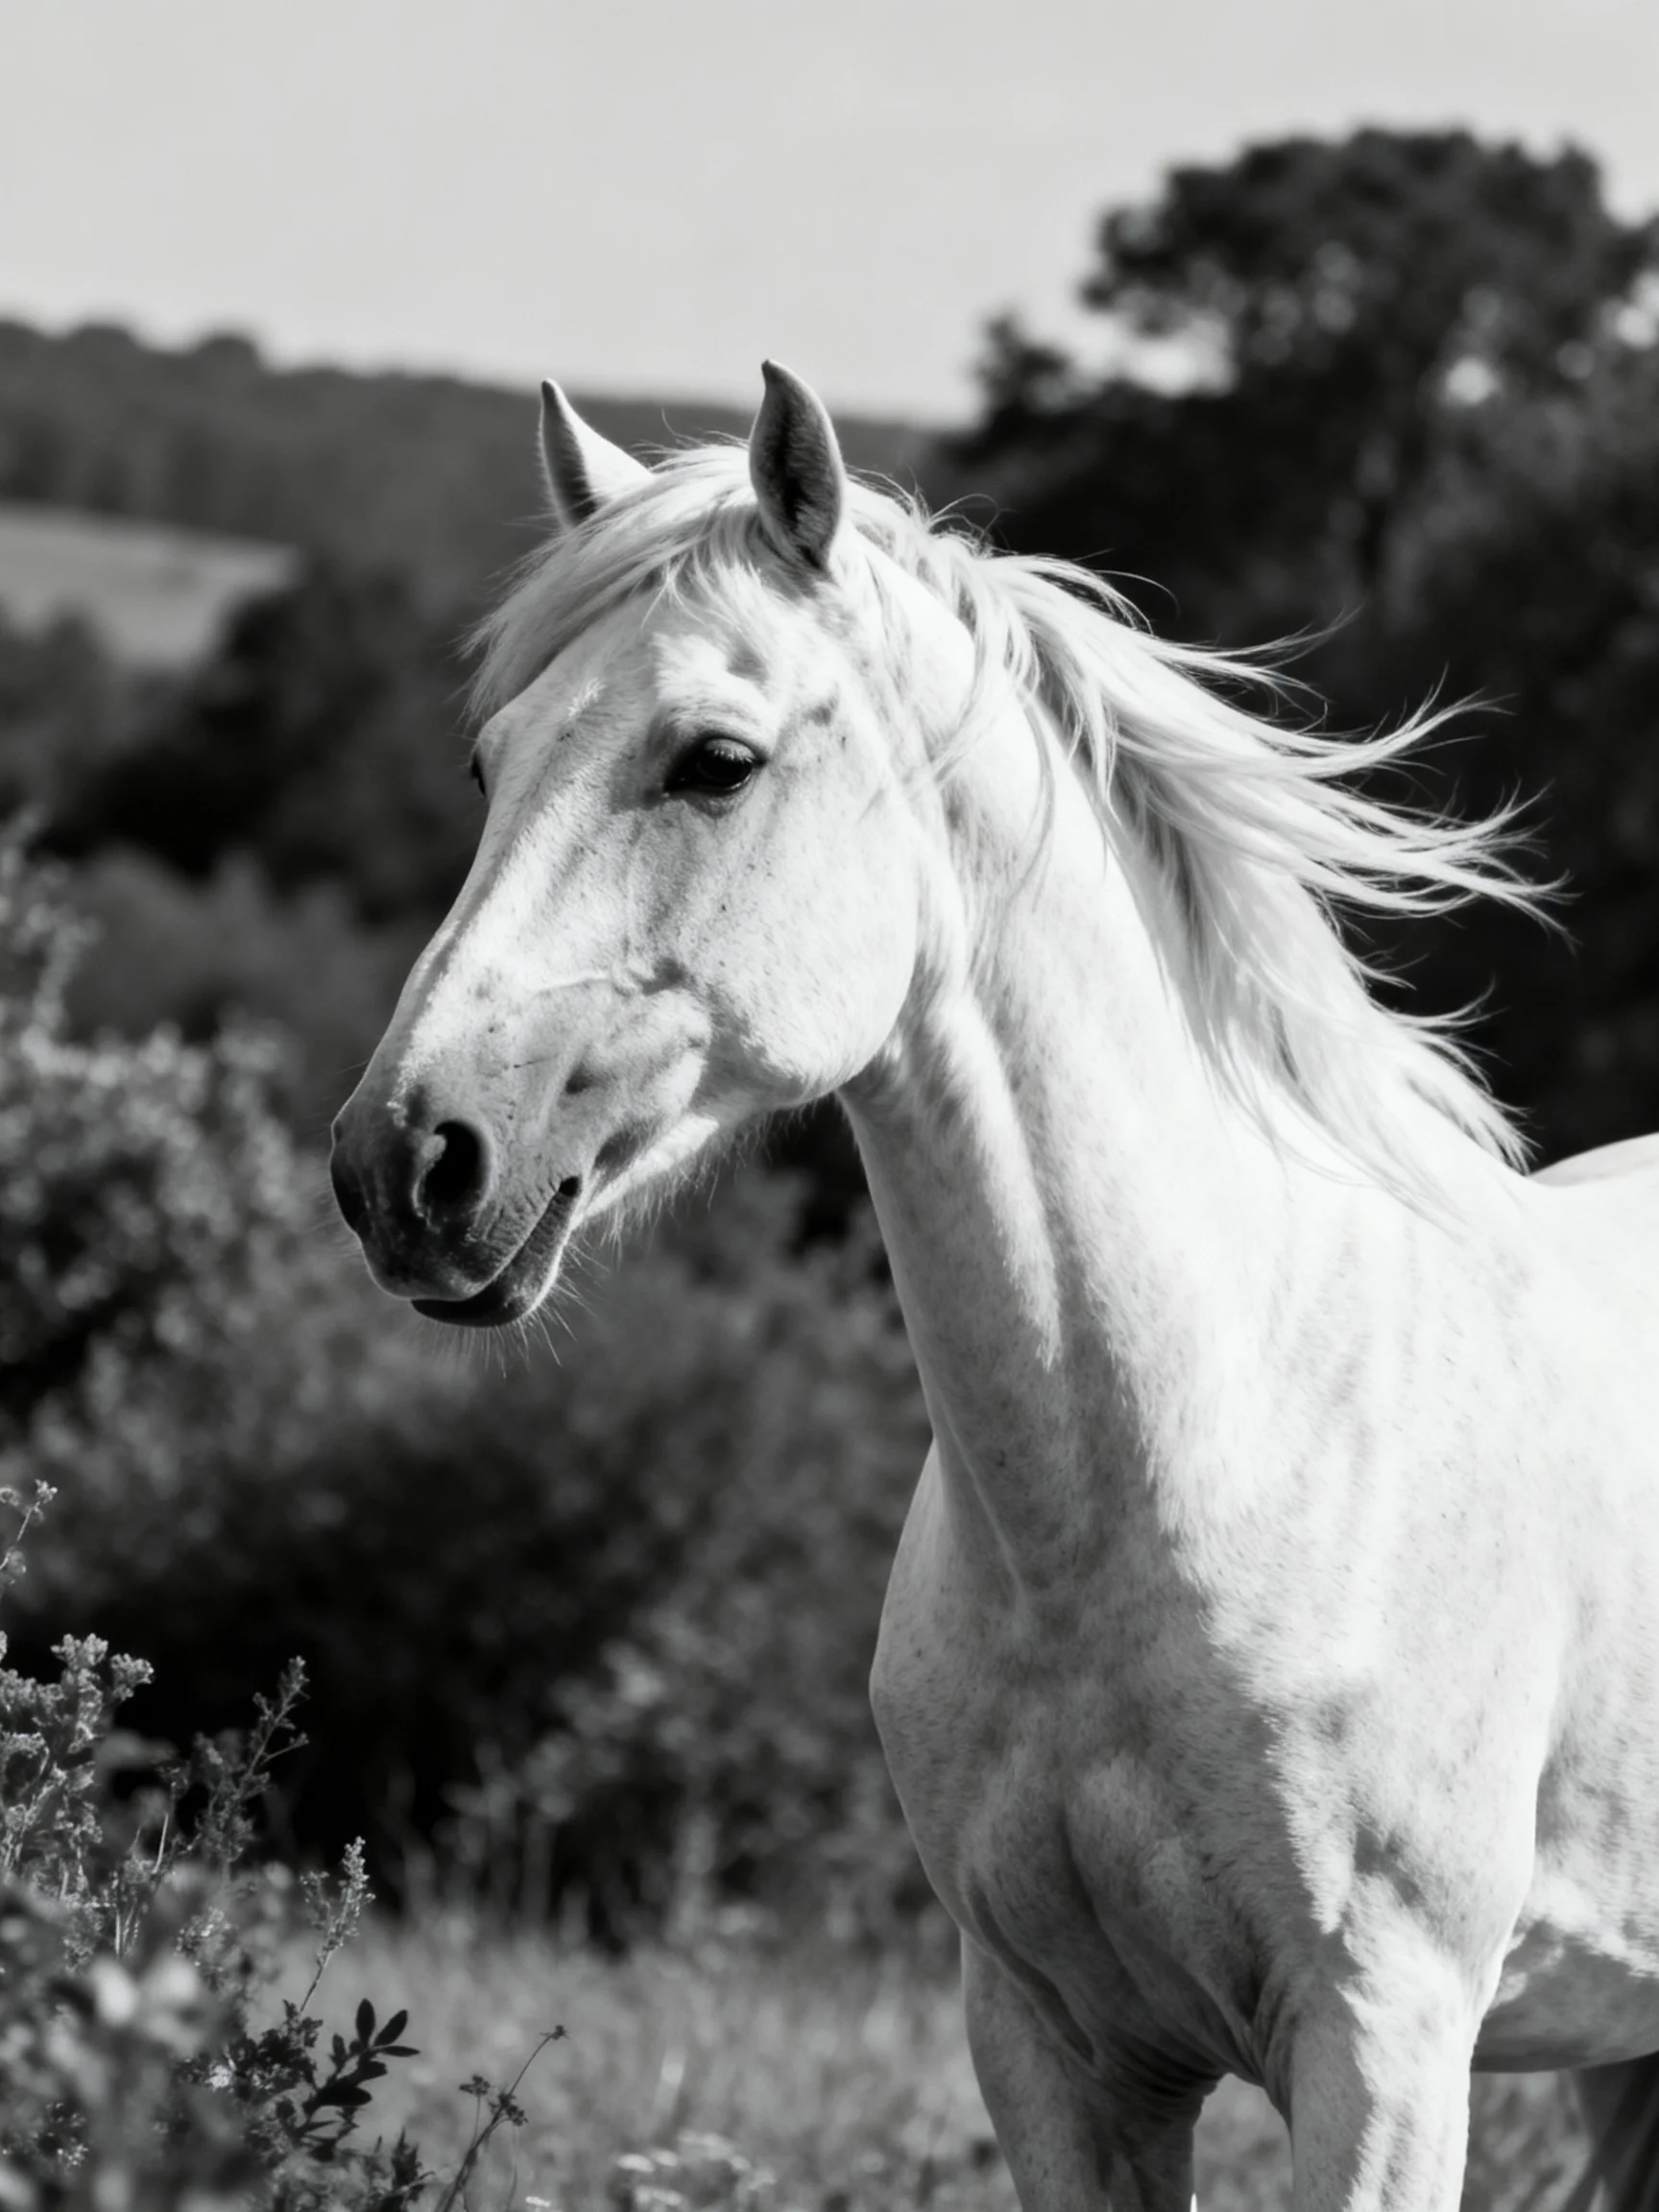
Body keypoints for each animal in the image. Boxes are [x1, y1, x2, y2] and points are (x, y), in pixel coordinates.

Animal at [330, 362, 1659, 2210]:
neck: (1198, 1458)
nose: (406, 1164)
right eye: (485, 762)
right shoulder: (1050, 2047)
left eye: (715, 760)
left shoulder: (1386, 2052)